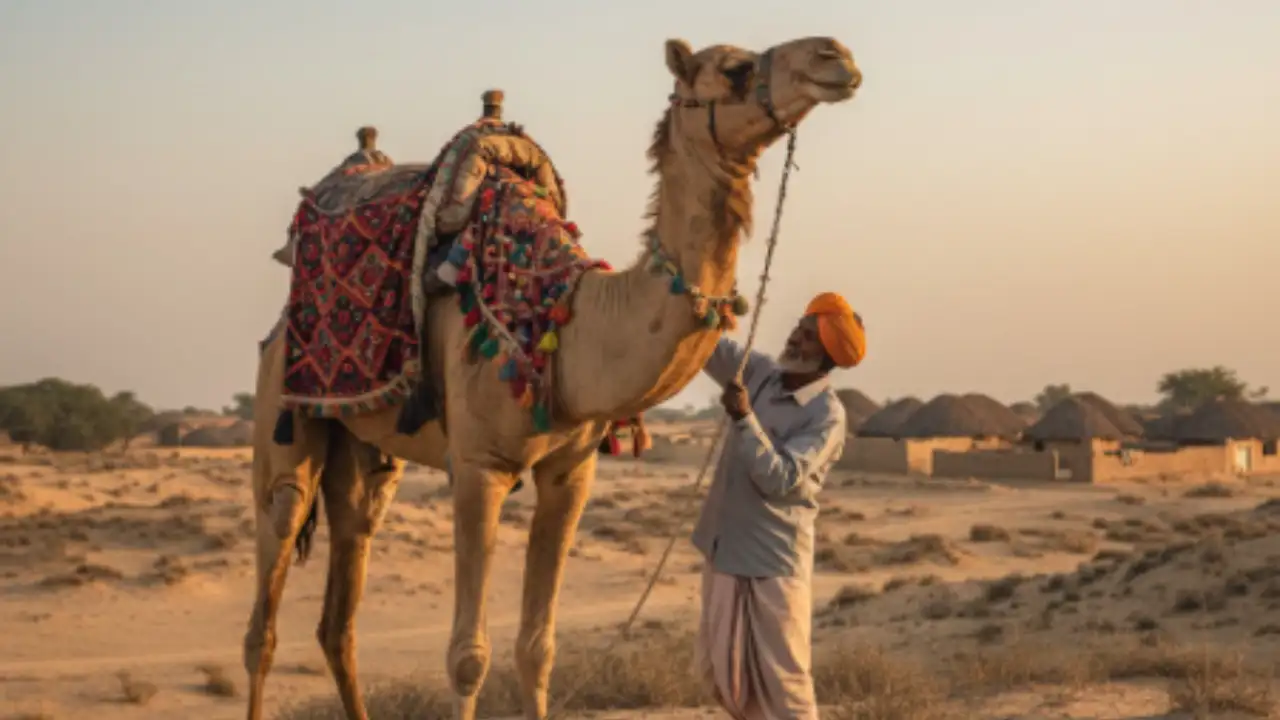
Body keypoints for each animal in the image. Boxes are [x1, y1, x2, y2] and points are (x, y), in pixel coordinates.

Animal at [243, 36, 862, 720]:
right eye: (735, 68)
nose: (835, 55)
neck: (566, 330)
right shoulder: (479, 467)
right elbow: (468, 657)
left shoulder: (572, 473)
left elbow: (537, 648)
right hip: (281, 407)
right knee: (267, 606)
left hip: (364, 452)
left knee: (342, 603)